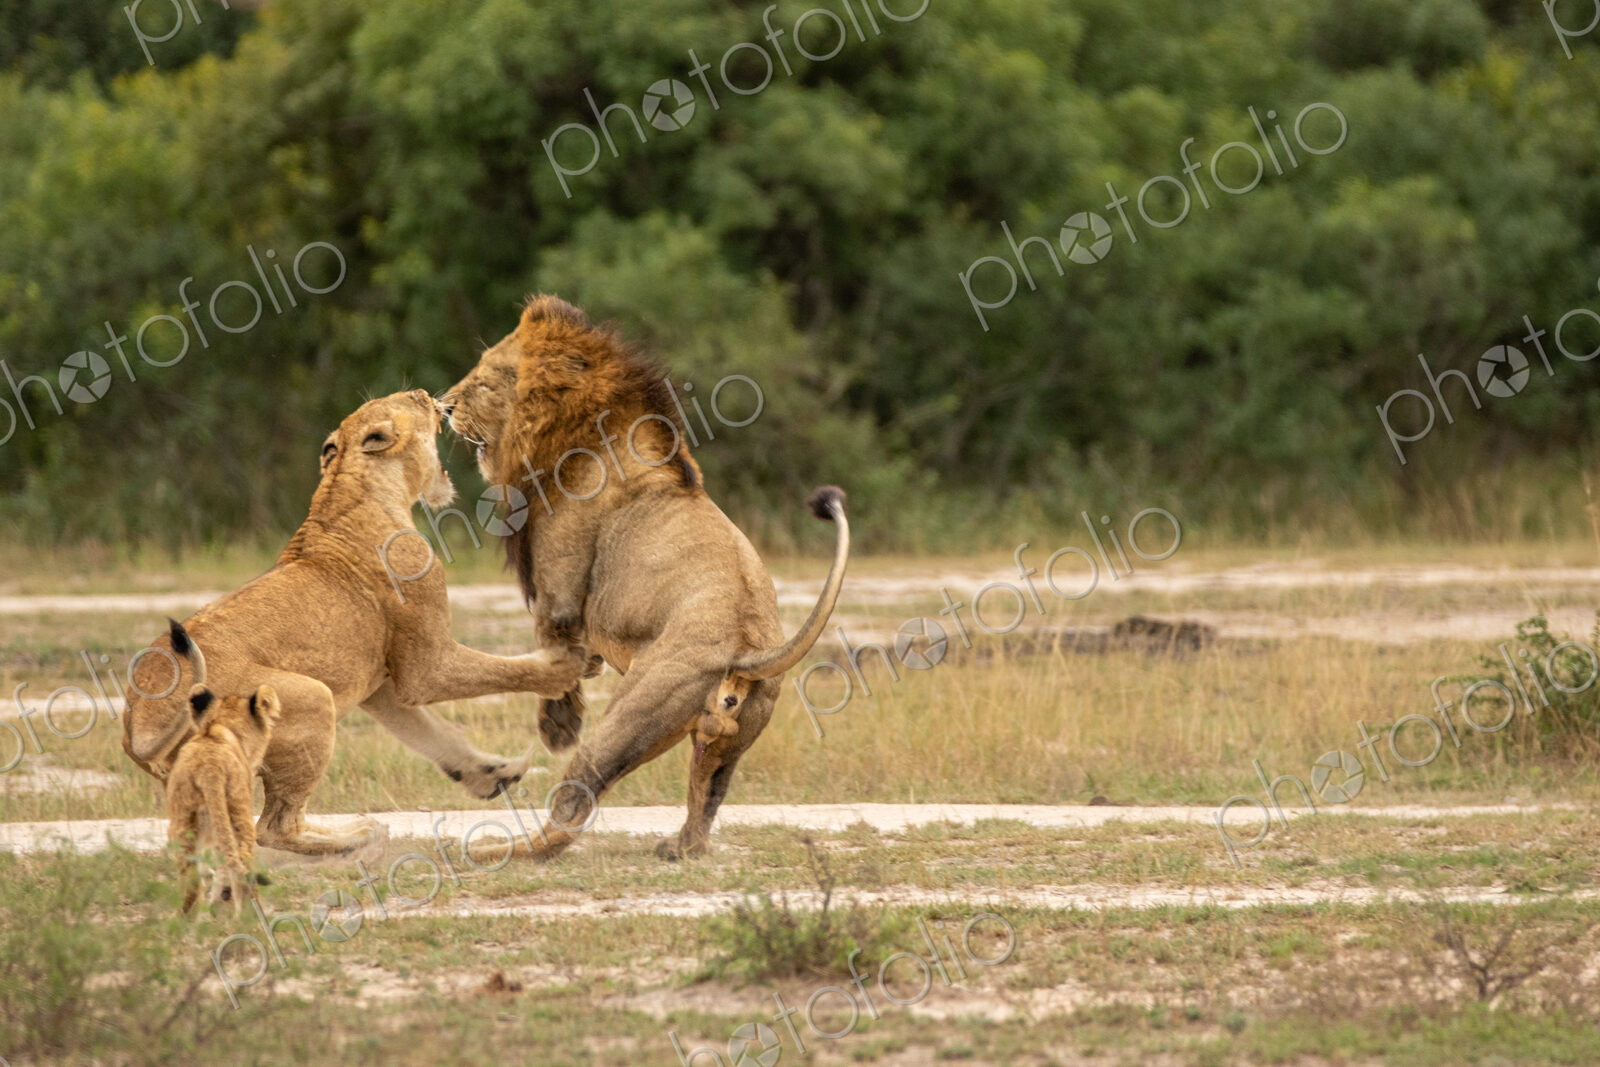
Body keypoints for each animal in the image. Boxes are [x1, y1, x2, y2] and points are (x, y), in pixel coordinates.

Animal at [121, 389, 586, 857]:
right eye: (414, 400)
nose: (432, 395)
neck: (351, 488)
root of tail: (139, 715)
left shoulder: (383, 686)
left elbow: (434, 734)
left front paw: (493, 775)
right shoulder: (427, 667)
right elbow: (505, 669)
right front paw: (567, 666)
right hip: (312, 696)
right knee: (274, 826)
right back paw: (359, 836)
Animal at [167, 684, 281, 914]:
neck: (220, 726)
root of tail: (209, 769)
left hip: (183, 824)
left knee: (192, 881)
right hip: (240, 816)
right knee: (243, 869)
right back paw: (250, 916)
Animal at [440, 295, 849, 861]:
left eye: (483, 379)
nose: (443, 406)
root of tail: (747, 649)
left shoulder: (559, 586)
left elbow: (551, 646)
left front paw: (558, 725)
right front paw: (585, 669)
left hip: (636, 709)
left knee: (570, 811)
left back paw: (495, 850)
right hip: (731, 741)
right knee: (705, 805)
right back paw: (678, 847)